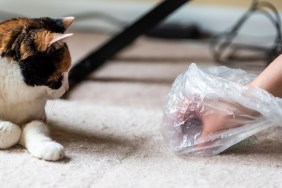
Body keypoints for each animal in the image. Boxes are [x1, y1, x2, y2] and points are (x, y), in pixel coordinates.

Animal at [0, 16, 74, 160]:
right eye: (61, 75)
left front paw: (48, 148)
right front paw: (15, 130)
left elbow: (34, 128)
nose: (67, 88)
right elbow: (12, 130)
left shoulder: (39, 116)